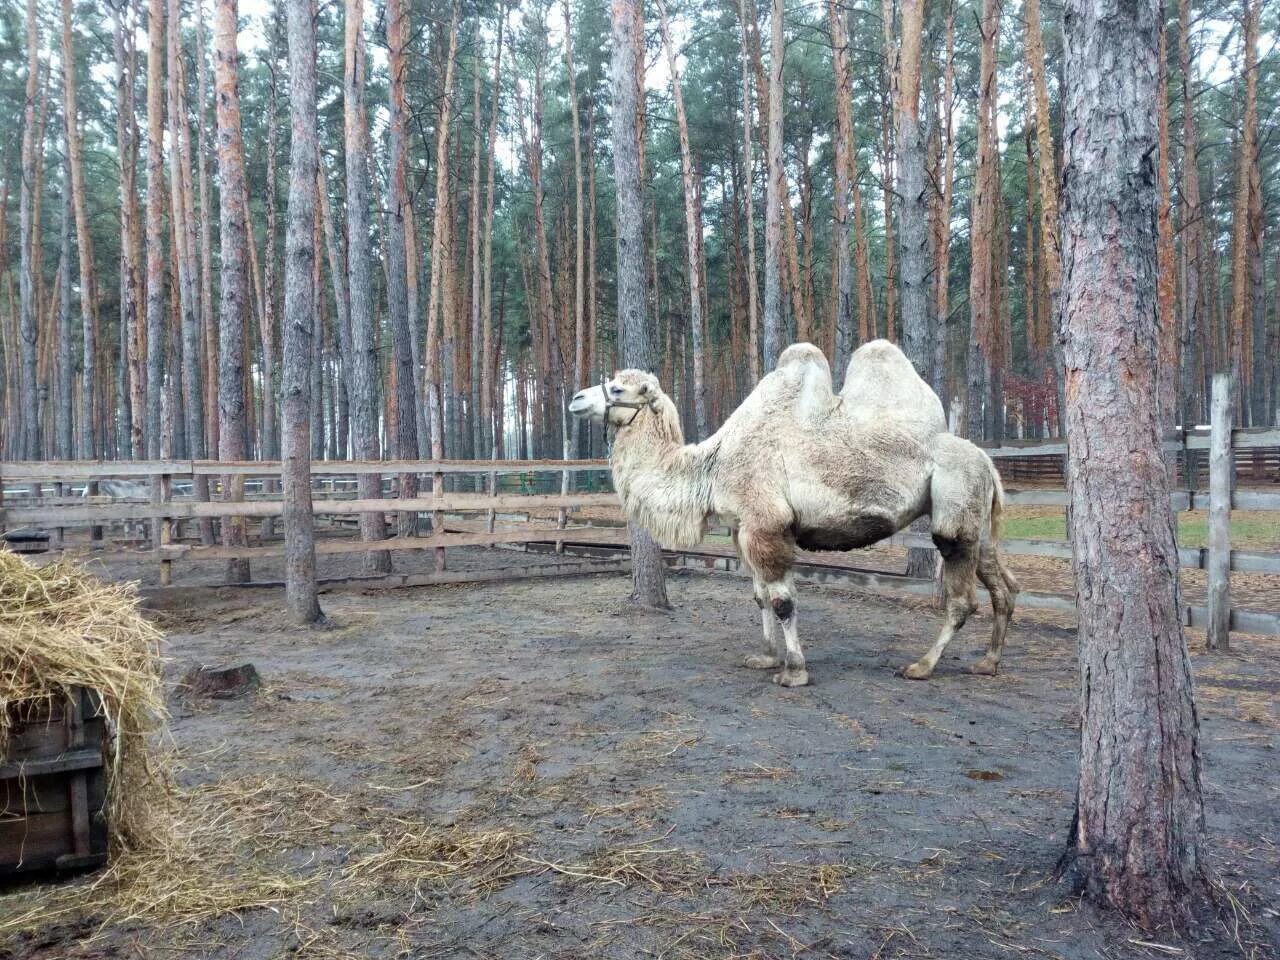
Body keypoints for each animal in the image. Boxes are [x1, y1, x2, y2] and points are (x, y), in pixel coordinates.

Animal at [570, 343, 1018, 686]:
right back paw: (988, 662)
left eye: (617, 387)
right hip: (977, 523)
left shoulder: (766, 525)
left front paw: (794, 672)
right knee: (1003, 586)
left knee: (962, 599)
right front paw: (766, 656)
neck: (711, 467)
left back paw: (922, 666)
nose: (575, 399)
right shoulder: (742, 527)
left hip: (954, 512)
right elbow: (759, 596)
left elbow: (783, 600)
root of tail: (985, 460)